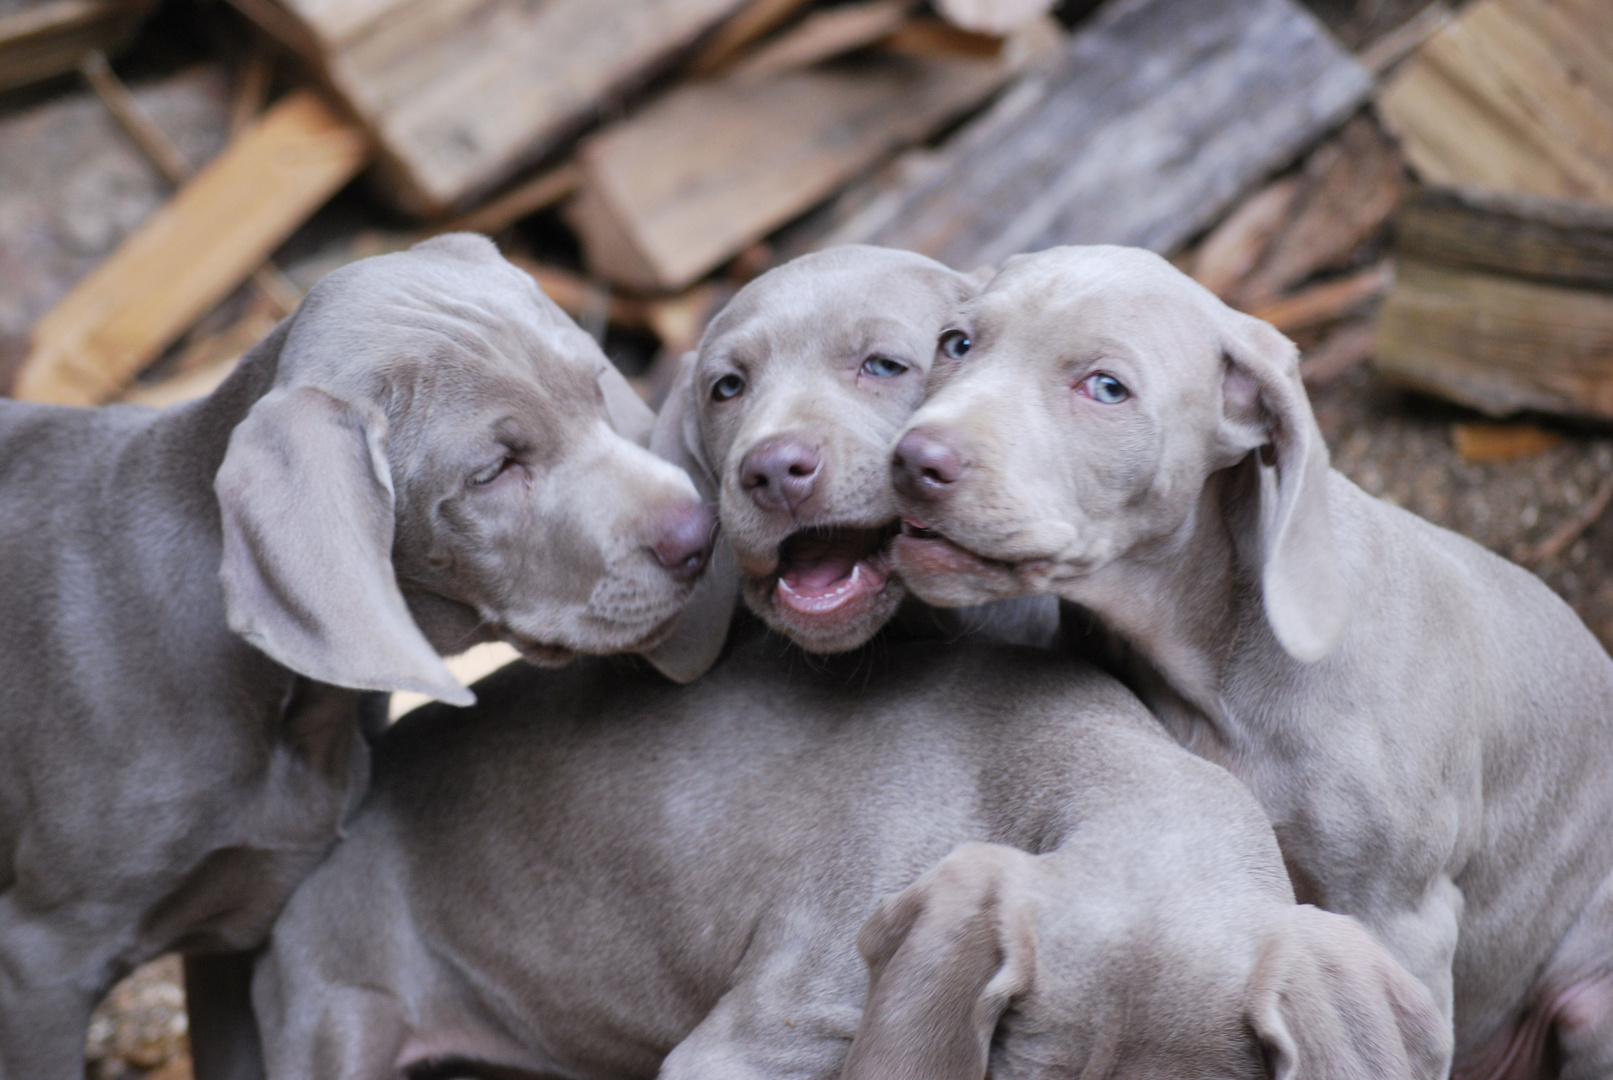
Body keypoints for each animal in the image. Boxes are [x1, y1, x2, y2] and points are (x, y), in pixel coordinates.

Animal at [0, 236, 712, 1080]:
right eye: (494, 470)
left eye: (596, 388)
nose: (702, 537)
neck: (289, 719)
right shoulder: (41, 964)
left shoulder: (240, 923)